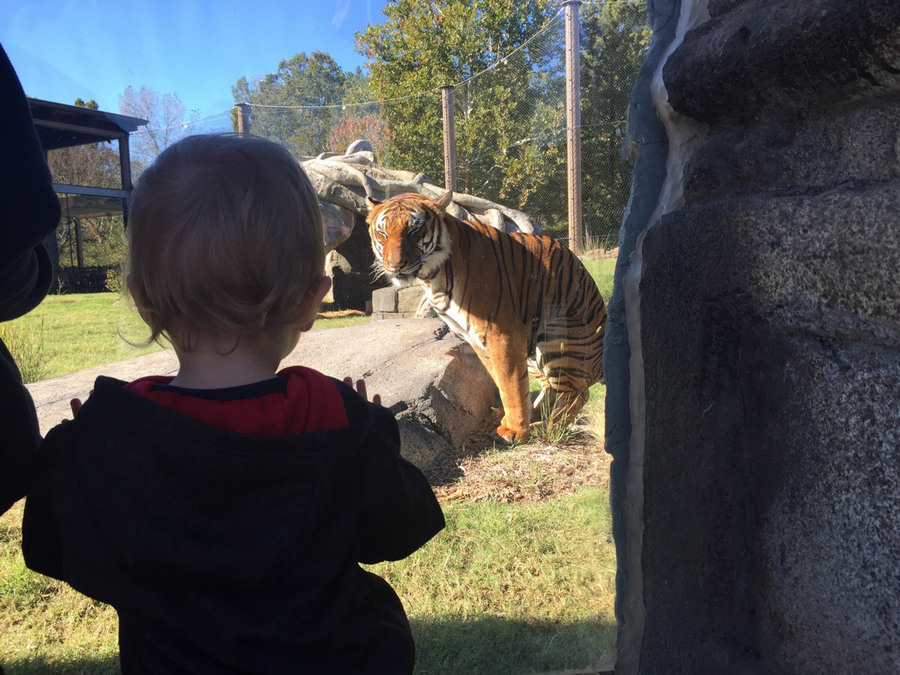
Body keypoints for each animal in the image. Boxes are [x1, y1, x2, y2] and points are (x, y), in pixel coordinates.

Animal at [366, 191, 604, 444]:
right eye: (382, 233)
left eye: (414, 231)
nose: (395, 265)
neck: (432, 277)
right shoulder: (475, 337)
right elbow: (500, 379)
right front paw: (510, 420)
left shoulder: (502, 334)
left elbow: (510, 383)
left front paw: (514, 430)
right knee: (553, 388)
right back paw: (533, 415)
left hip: (558, 340)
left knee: (578, 393)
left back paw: (546, 427)